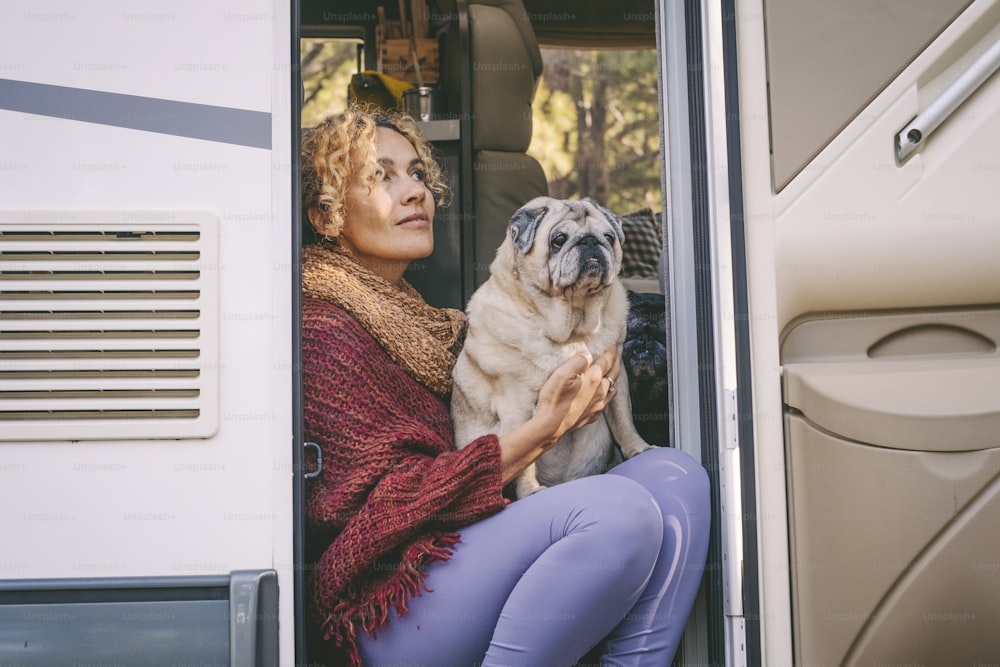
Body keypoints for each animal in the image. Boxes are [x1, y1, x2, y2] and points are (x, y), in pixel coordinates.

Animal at [450, 196, 652, 498]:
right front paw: (531, 490)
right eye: (558, 240)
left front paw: (638, 449)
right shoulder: (517, 404)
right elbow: (526, 458)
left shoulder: (618, 379)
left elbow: (623, 419)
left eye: (609, 237)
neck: (573, 329)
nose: (591, 241)